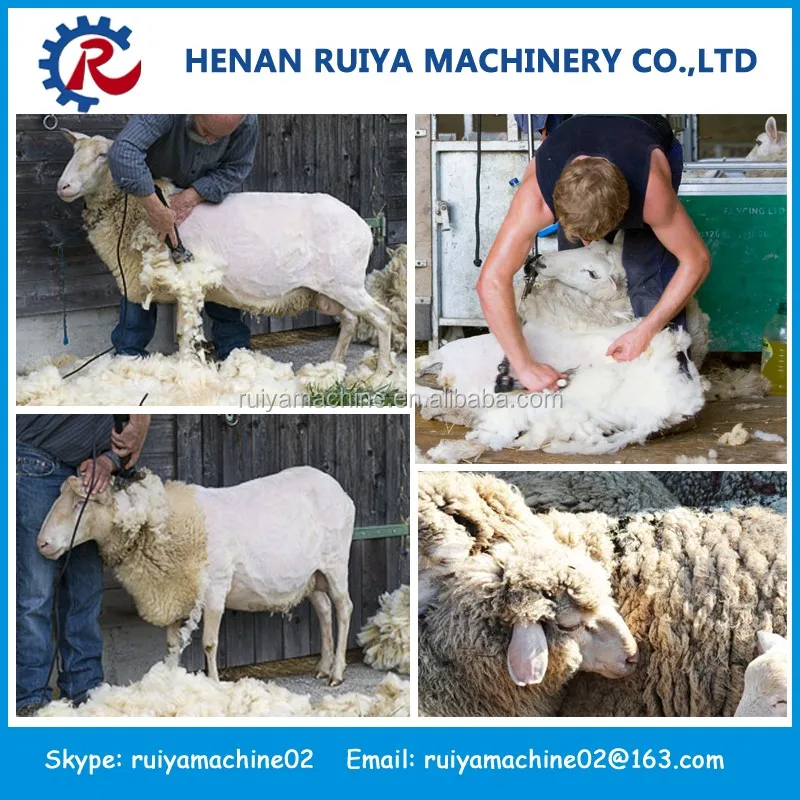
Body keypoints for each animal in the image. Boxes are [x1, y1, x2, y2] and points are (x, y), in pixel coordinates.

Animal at [37, 467, 355, 686]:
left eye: (81, 504)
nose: (42, 543)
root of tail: (339, 489)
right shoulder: (173, 590)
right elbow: (171, 645)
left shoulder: (215, 587)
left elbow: (209, 644)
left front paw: (213, 683)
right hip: (312, 575)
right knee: (324, 610)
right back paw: (323, 666)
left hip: (336, 564)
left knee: (343, 608)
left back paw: (337, 672)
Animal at [56, 130, 392, 376]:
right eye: (74, 152)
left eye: (102, 156)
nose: (64, 186)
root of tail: (364, 226)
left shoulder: (188, 284)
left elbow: (184, 334)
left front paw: (187, 372)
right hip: (326, 290)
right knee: (350, 319)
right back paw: (334, 364)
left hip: (344, 282)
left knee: (382, 317)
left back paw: (381, 373)